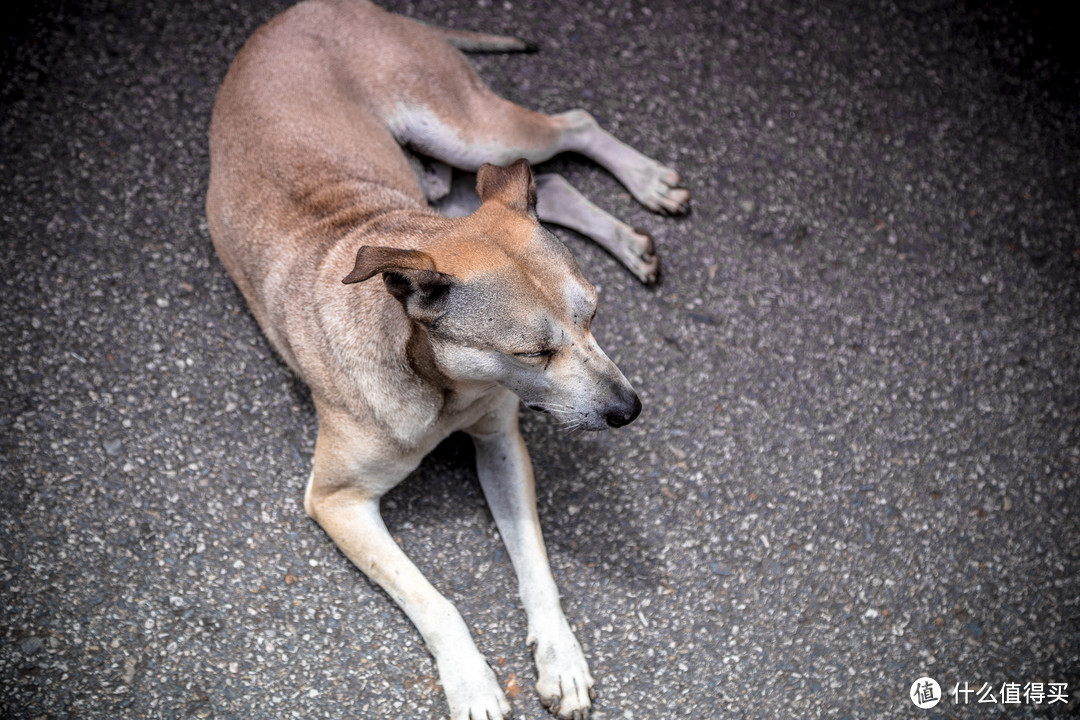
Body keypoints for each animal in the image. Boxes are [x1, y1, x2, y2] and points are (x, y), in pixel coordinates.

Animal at [206, 2, 686, 716]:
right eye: (533, 351)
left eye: (594, 314)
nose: (629, 410)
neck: (440, 383)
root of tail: (300, 12)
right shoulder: (337, 500)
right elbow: (435, 602)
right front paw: (473, 684)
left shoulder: (502, 446)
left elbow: (537, 569)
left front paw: (561, 657)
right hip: (460, 163)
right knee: (557, 174)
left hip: (469, 132)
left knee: (570, 130)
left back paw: (646, 188)